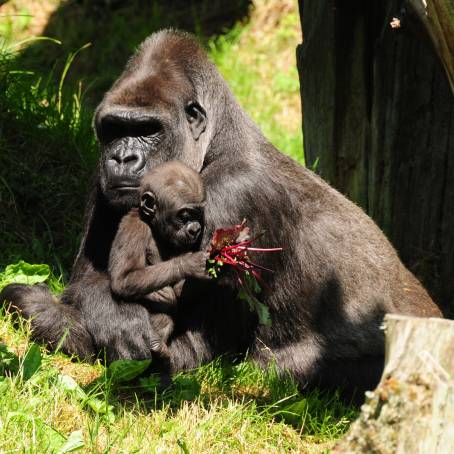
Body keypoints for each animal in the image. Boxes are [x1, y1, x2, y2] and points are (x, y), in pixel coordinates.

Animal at [109, 162, 208, 358]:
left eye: (199, 215)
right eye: (185, 216)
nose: (195, 229)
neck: (153, 225)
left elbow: (179, 292)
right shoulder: (135, 227)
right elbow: (123, 278)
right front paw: (189, 264)